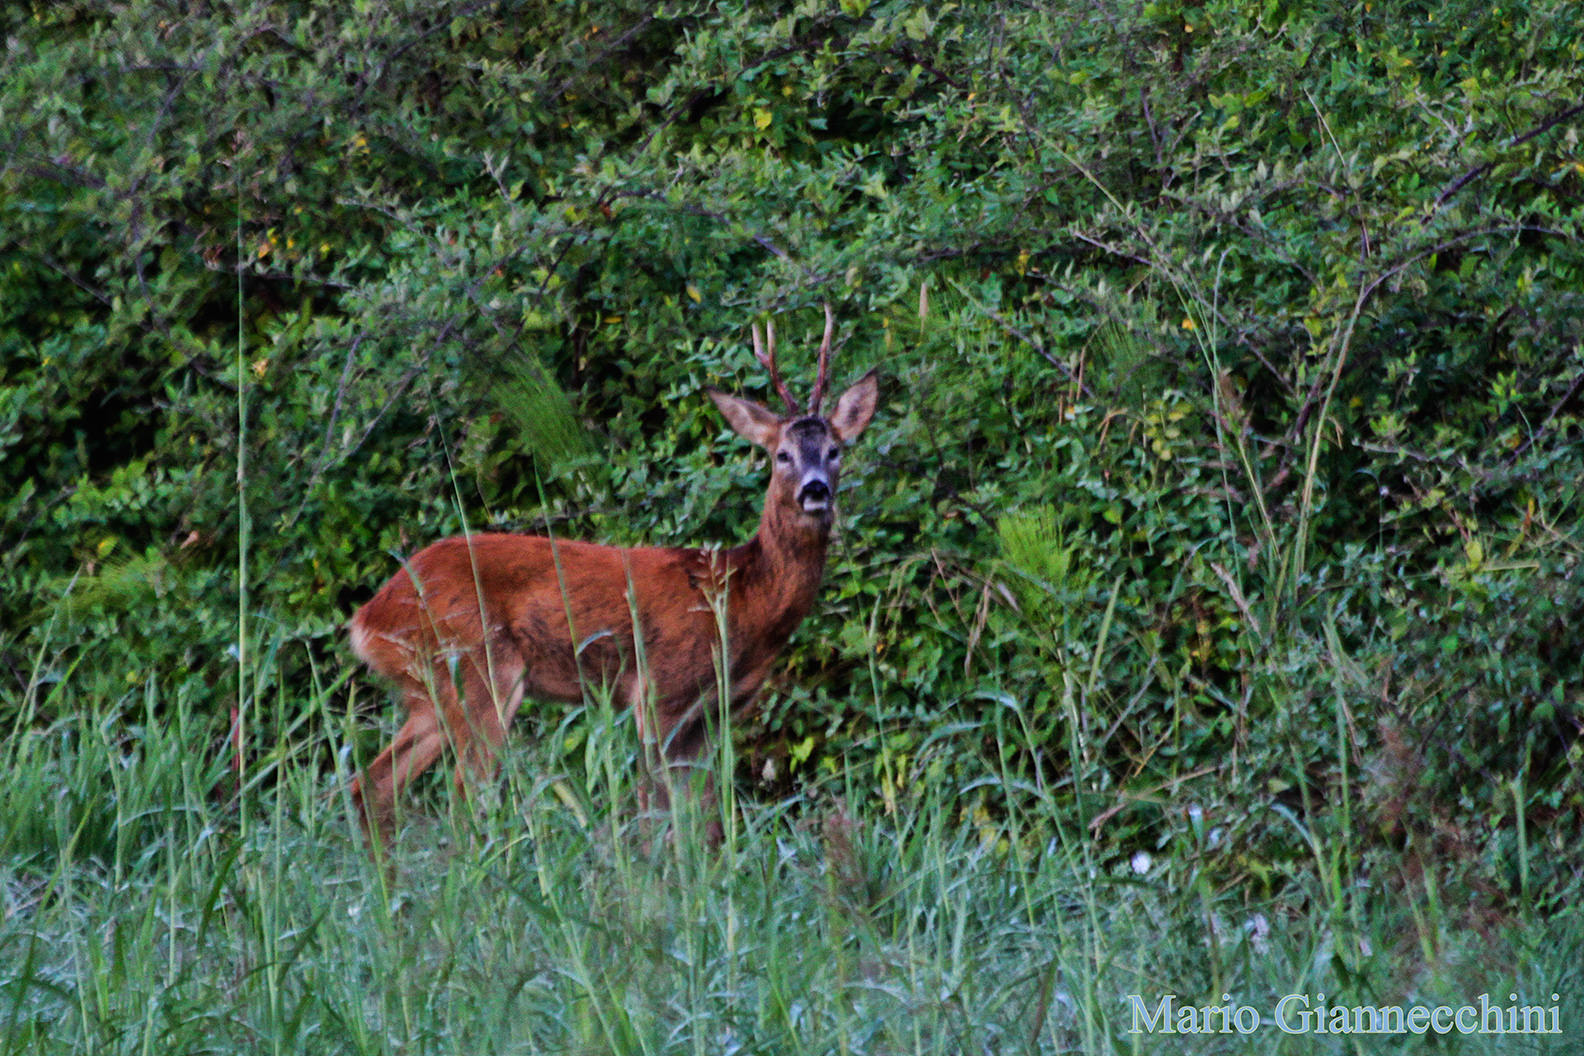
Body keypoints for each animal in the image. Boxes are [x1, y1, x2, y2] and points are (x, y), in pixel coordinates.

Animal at [345, 303, 880, 842]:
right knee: (461, 800)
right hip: (478, 670)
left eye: (835, 451)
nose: (815, 490)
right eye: (782, 455)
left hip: (429, 692)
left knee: (370, 786)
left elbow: (704, 820)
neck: (738, 597)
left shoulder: (715, 713)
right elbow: (653, 813)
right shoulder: (659, 692)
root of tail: (367, 618)